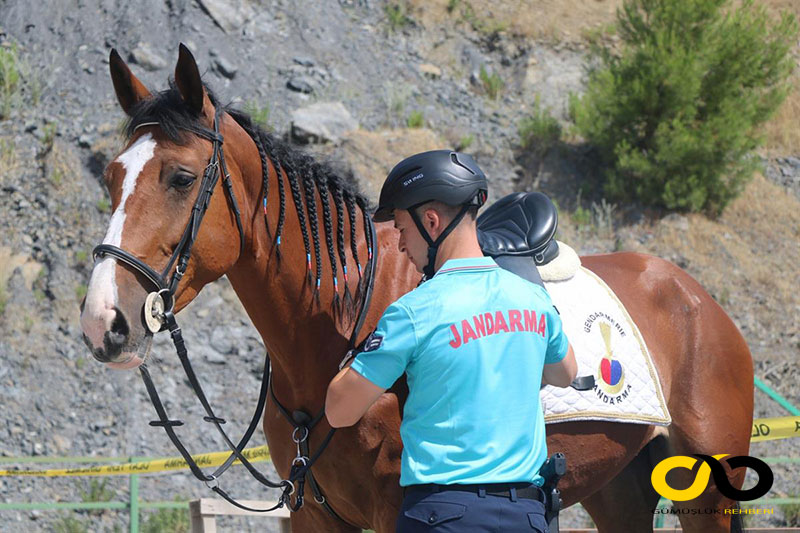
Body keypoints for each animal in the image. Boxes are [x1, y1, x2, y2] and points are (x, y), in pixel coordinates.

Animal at [78, 46, 752, 532]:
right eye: (110, 177)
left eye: (181, 177)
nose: (104, 321)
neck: (341, 324)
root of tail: (696, 298)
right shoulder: (311, 516)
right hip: (619, 489)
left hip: (704, 495)